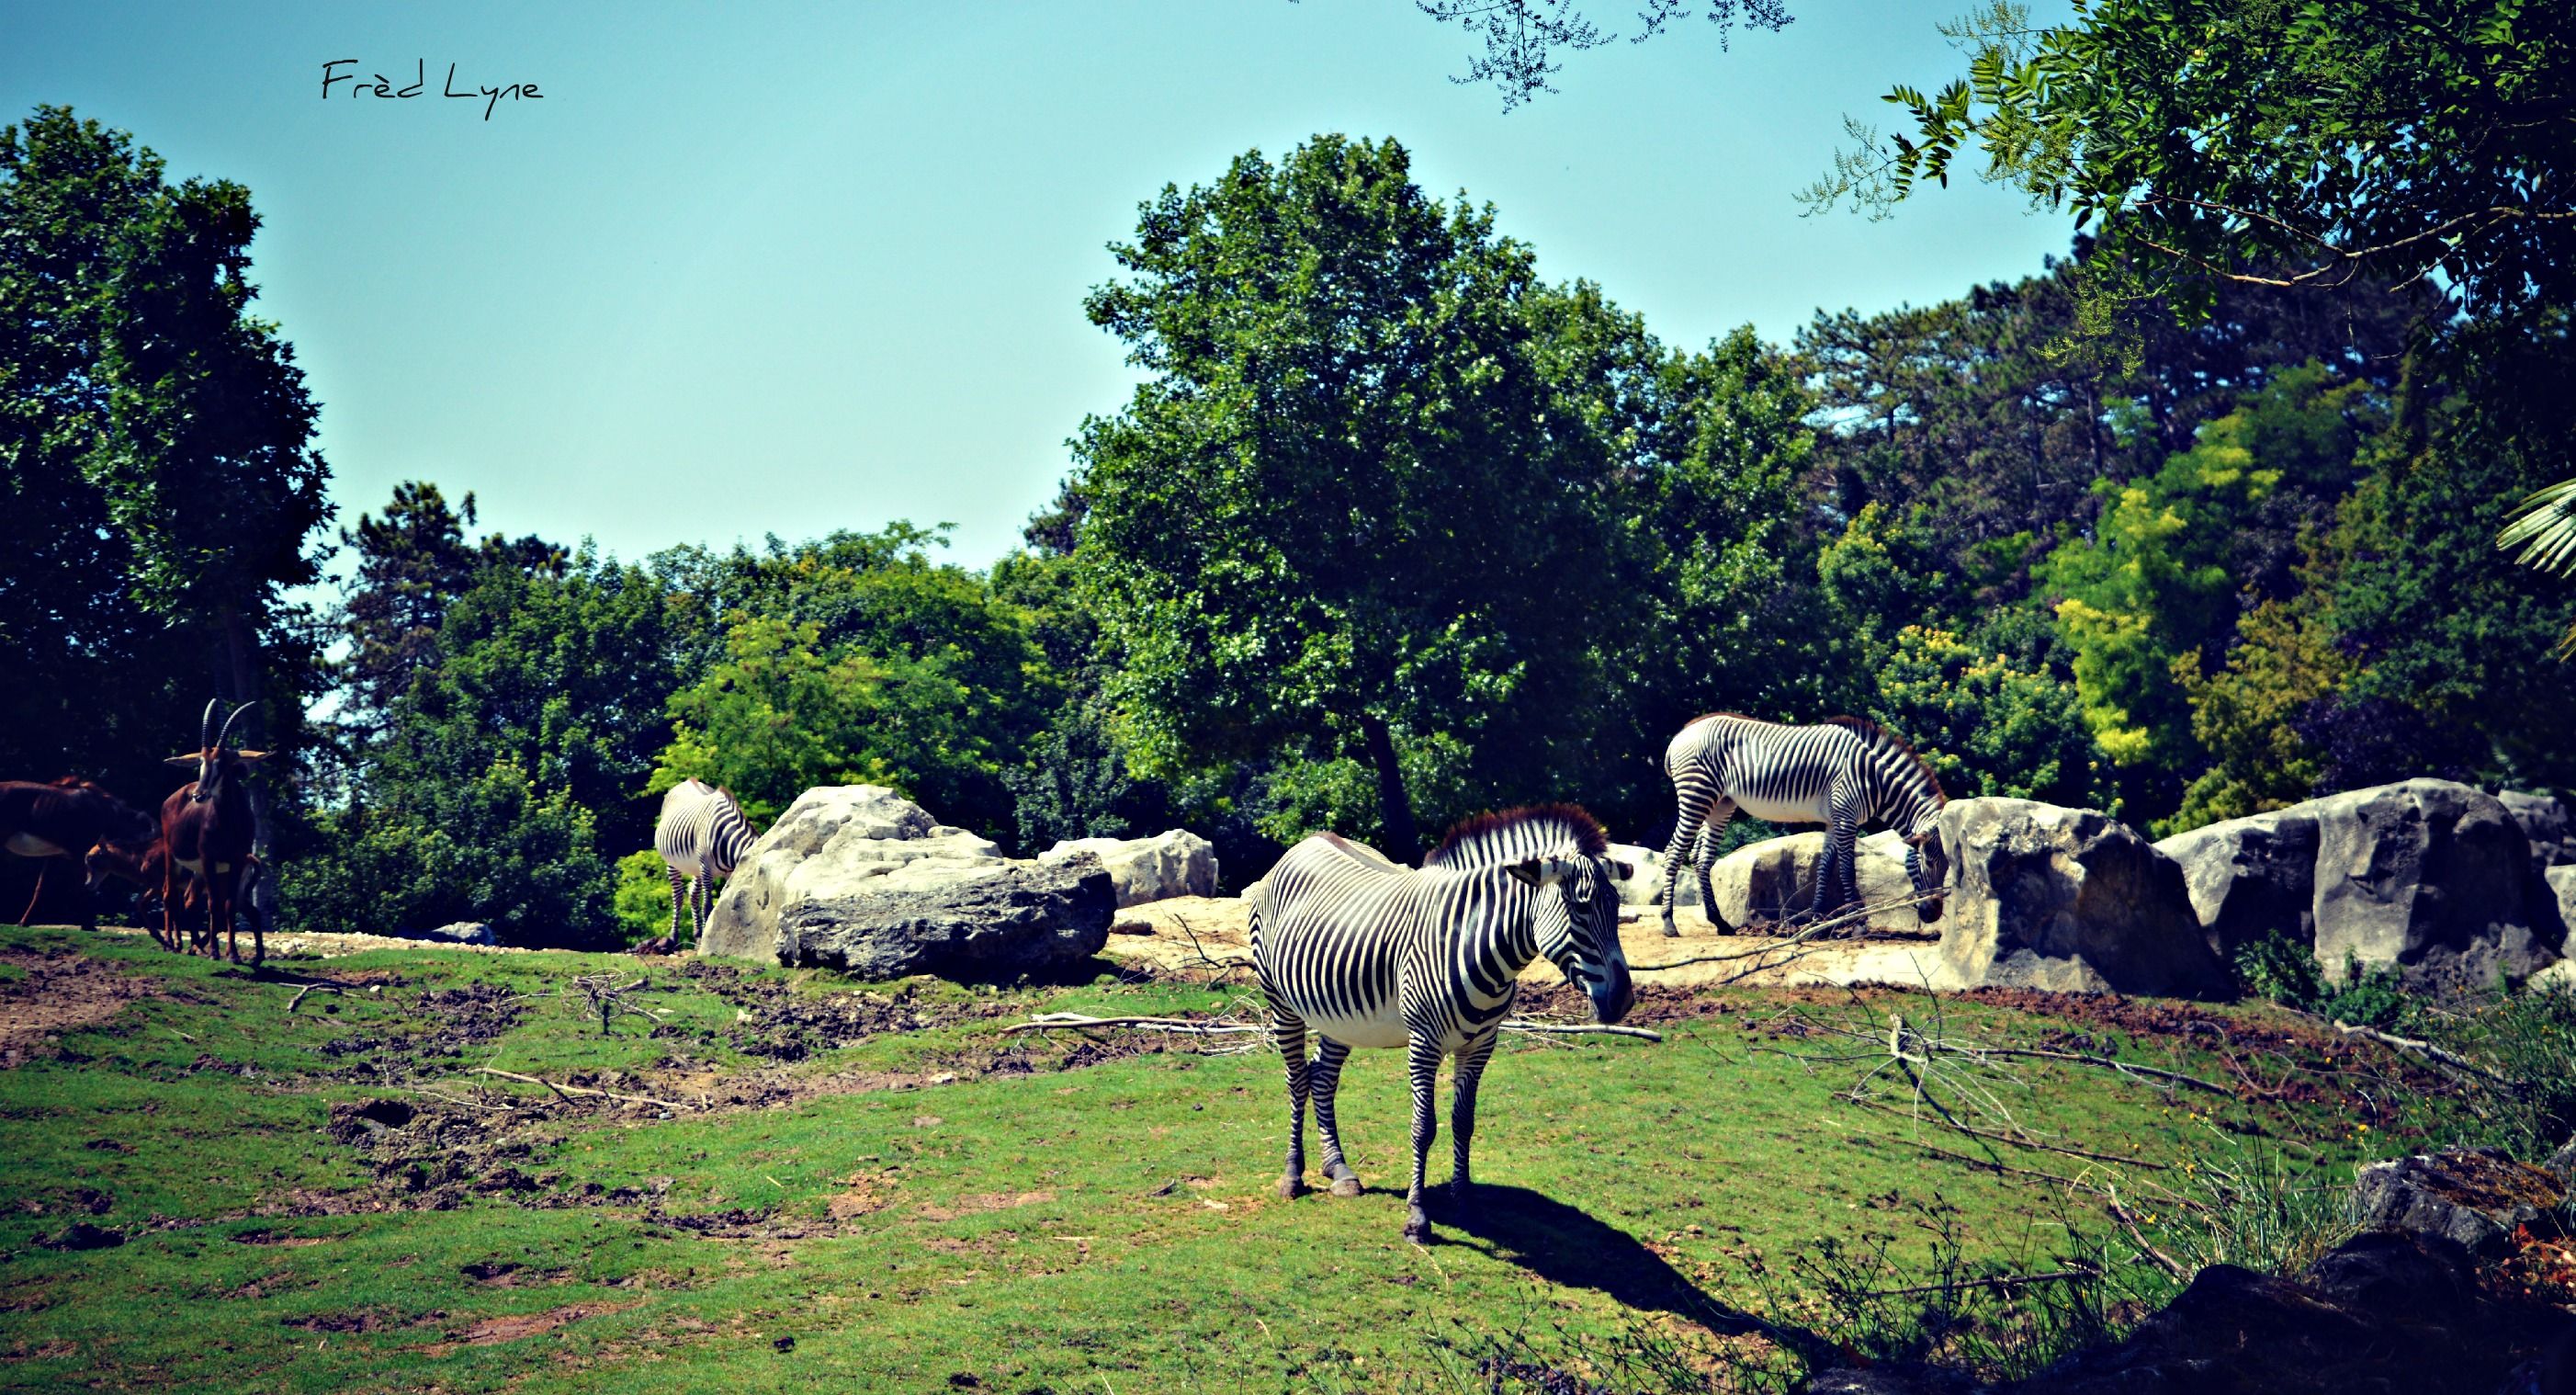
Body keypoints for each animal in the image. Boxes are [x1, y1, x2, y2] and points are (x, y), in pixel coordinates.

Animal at [0, 778, 157, 928]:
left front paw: (24, 922)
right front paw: (88, 925)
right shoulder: (80, 855)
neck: (110, 815)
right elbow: (82, 887)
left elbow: (41, 887)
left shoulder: (56, 855)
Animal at [162, 701, 270, 964]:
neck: (229, 824)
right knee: (170, 895)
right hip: (173, 857)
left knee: (190, 901)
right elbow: (213, 904)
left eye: (222, 762)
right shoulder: (209, 859)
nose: (199, 795)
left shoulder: (236, 860)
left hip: (198, 871)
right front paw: (214, 952)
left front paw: (233, 955)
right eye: (201, 761)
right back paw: (171, 944)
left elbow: (228, 906)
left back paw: (192, 947)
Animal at [649, 778, 757, 938]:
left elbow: (724, 900)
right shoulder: (706, 867)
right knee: (678, 896)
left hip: (695, 866)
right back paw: (674, 936)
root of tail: (688, 781)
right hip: (673, 863)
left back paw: (697, 933)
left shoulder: (730, 872)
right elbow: (708, 906)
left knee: (693, 893)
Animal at [1247, 799, 1628, 1248]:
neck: (1472, 942)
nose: (1623, 999)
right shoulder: (1424, 1042)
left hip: (1338, 1015)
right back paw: (1292, 1176)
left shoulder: (1481, 1043)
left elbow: (1463, 1122)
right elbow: (1423, 1126)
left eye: (1617, 908)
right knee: (1297, 1080)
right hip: (1280, 1001)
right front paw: (1417, 1217)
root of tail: (1307, 842)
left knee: (1322, 1078)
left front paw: (1465, 1203)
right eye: (1580, 907)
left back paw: (1338, 1170)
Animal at [1658, 717, 1937, 933]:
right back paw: (1669, 923)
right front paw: (1858, 923)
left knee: (1700, 857)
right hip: (1697, 793)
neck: (1872, 779)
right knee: (1674, 851)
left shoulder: (1834, 820)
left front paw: (1816, 920)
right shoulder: (1845, 817)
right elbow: (1847, 871)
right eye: (1931, 862)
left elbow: (1825, 868)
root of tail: (1680, 736)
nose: (1933, 914)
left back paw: (1719, 922)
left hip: (1720, 803)